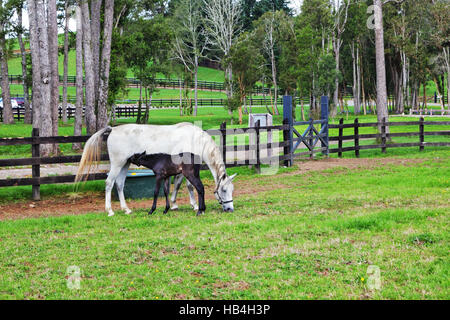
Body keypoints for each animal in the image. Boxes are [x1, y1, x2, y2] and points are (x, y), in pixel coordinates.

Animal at [74, 121, 236, 216]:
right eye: (223, 190)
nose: (230, 209)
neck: (195, 140)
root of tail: (112, 129)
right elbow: (186, 185)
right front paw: (193, 205)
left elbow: (176, 185)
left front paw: (174, 204)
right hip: (117, 164)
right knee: (109, 183)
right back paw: (110, 210)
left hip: (125, 164)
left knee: (119, 184)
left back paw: (126, 209)